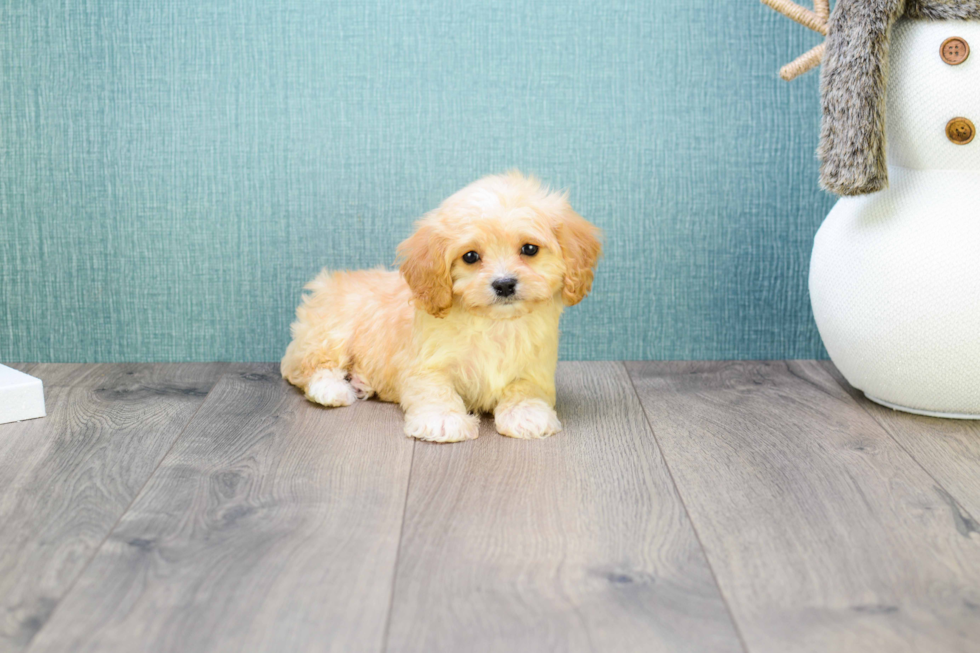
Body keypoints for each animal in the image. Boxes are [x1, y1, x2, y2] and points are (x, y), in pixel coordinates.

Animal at [280, 171, 600, 440]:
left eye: (530, 249)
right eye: (470, 256)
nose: (504, 284)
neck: (492, 322)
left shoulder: (535, 366)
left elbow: (526, 388)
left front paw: (527, 414)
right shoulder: (425, 363)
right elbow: (435, 389)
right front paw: (444, 420)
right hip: (330, 331)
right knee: (305, 366)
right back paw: (333, 389)